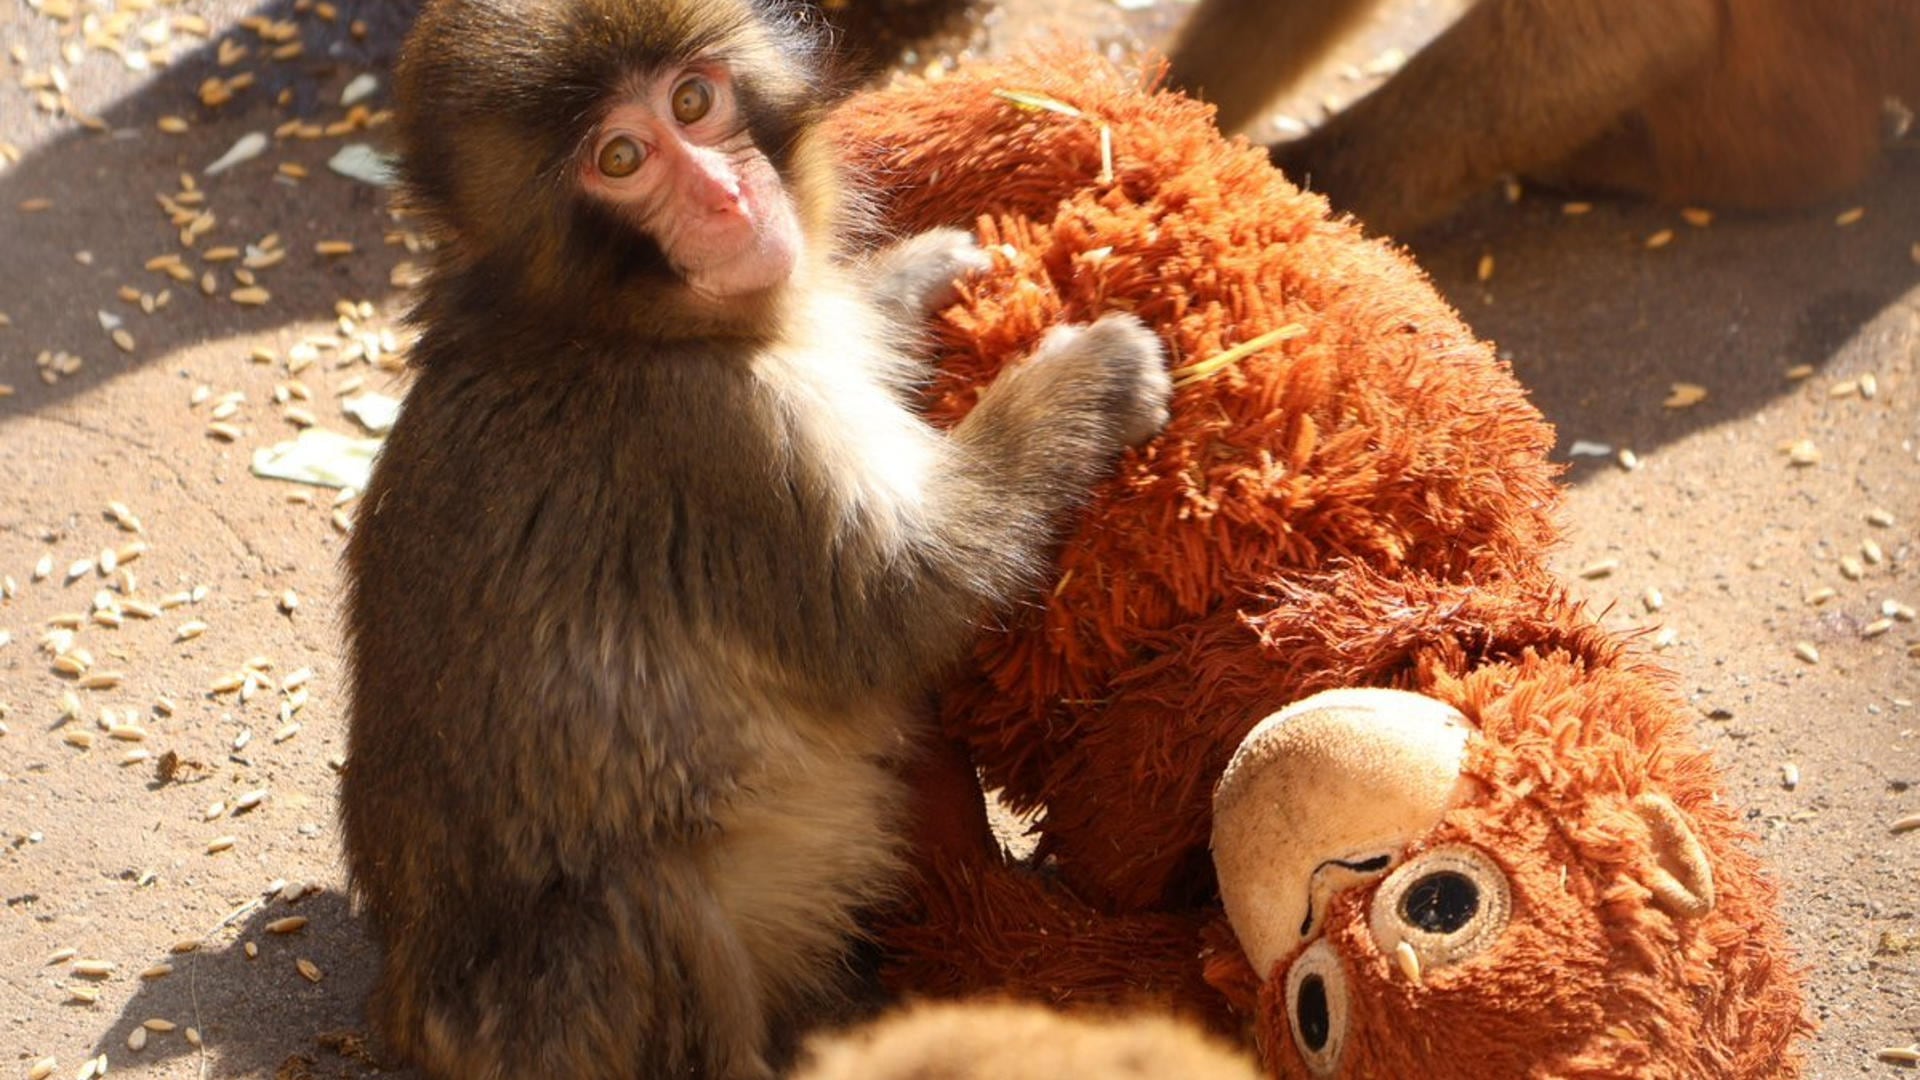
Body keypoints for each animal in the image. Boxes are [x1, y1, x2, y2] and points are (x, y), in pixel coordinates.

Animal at [335, 0, 1172, 1076]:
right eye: (620, 157)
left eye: (694, 101)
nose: (729, 197)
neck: (607, 324)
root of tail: (399, 1014)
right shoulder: (717, 437)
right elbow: (901, 602)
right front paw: (1091, 378)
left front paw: (910, 278)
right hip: (550, 1023)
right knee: (639, 901)